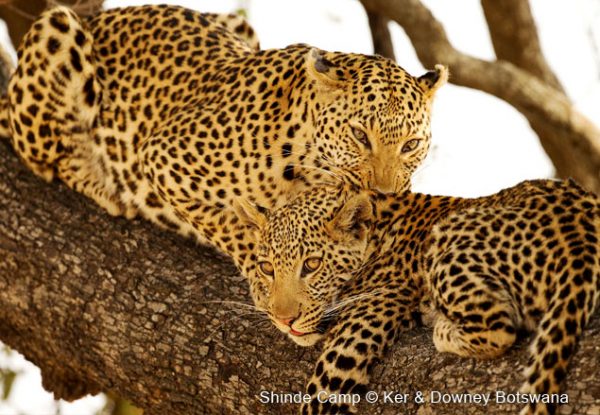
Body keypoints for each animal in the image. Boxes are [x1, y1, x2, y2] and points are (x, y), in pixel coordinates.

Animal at [0, 5, 448, 276]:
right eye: (359, 136)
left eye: (410, 145)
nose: (384, 194)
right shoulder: (162, 155)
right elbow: (226, 222)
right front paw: (258, 256)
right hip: (58, 30)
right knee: (48, 158)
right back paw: (105, 187)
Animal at [236, 180, 600, 415]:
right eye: (267, 268)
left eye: (312, 265)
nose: (285, 321)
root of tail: (578, 231)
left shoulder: (366, 320)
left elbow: (319, 397)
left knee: (499, 330)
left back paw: (443, 330)